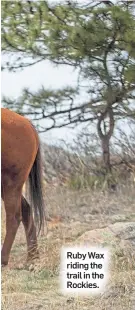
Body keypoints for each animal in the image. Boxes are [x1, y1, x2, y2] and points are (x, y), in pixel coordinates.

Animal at [1, 108, 45, 266]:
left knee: (14, 217)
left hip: (10, 183)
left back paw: (3, 259)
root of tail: (26, 122)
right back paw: (32, 257)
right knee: (26, 209)